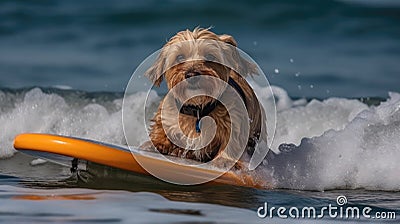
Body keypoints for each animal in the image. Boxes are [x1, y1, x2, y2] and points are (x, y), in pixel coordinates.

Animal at [142, 27, 268, 170]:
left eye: (210, 56)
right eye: (180, 57)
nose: (192, 74)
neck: (198, 110)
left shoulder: (235, 120)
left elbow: (232, 142)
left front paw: (223, 159)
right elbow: (161, 132)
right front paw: (153, 144)